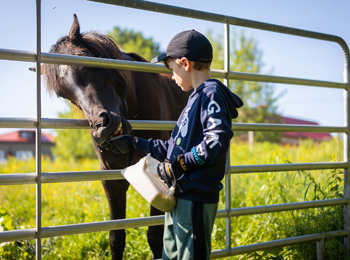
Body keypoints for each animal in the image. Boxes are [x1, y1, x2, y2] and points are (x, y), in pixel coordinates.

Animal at [42, 14, 190, 260]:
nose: (103, 128)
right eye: (62, 93)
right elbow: (116, 237)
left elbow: (155, 236)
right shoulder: (111, 178)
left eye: (88, 64)